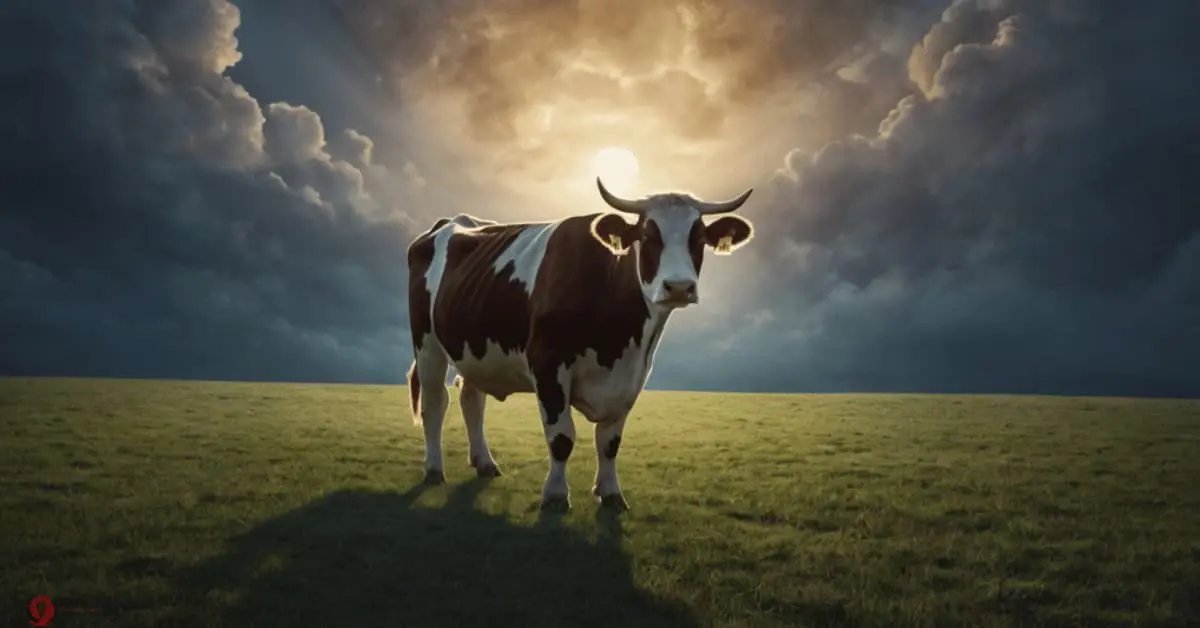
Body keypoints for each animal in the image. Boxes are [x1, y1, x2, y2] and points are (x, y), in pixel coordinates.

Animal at [404, 177, 755, 512]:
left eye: (698, 238)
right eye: (648, 236)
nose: (680, 287)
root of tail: (454, 221)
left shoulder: (632, 374)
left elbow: (610, 442)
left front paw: (611, 493)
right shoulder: (547, 363)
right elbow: (561, 437)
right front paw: (556, 496)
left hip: (474, 349)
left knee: (472, 400)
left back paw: (485, 463)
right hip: (428, 345)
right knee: (435, 403)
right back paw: (434, 469)